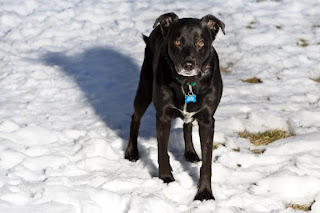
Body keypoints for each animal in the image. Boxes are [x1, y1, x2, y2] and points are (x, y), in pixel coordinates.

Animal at [124, 12, 224, 201]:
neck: (188, 83)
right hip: (145, 88)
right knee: (135, 117)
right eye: (177, 42)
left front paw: (204, 193)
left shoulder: (207, 120)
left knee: (187, 125)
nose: (188, 65)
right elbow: (162, 152)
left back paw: (190, 153)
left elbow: (207, 162)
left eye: (200, 42)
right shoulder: (163, 116)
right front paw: (166, 178)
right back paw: (131, 152)